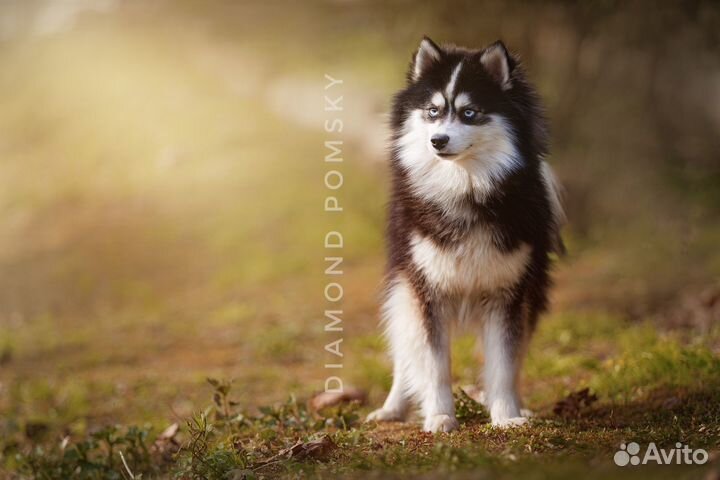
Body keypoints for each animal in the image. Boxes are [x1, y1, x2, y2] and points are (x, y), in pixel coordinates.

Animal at [368, 37, 564, 434]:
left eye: (470, 113)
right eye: (432, 111)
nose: (437, 141)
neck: (465, 189)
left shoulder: (508, 294)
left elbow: (503, 366)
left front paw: (505, 416)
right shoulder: (426, 292)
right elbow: (433, 366)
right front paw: (440, 416)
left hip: (532, 296)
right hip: (403, 289)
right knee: (405, 353)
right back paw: (392, 407)